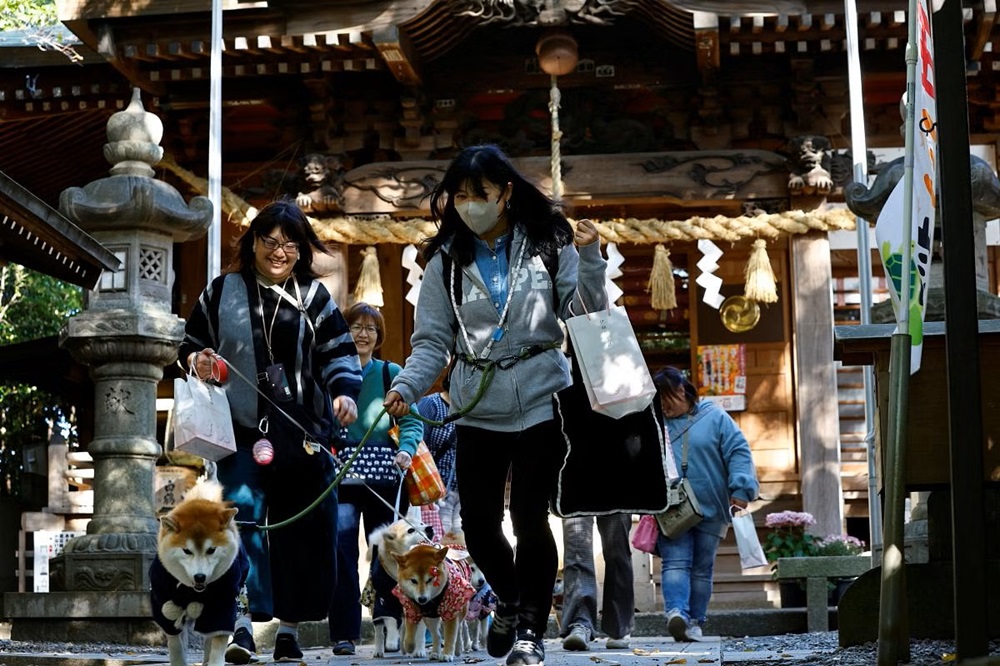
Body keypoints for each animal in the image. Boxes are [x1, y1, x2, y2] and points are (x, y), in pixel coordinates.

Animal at [150, 480, 248, 664]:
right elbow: (175, 644)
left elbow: (218, 641)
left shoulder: (223, 603)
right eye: (186, 551)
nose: (200, 577)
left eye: (211, 550)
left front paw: (214, 662)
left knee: (209, 639)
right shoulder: (163, 600)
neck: (193, 590)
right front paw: (178, 662)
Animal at [366, 512, 432, 652]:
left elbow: (420, 632)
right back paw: (379, 650)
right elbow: (391, 621)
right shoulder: (386, 599)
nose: (430, 528)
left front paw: (419, 650)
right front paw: (391, 641)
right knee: (379, 631)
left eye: (422, 523)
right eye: (411, 530)